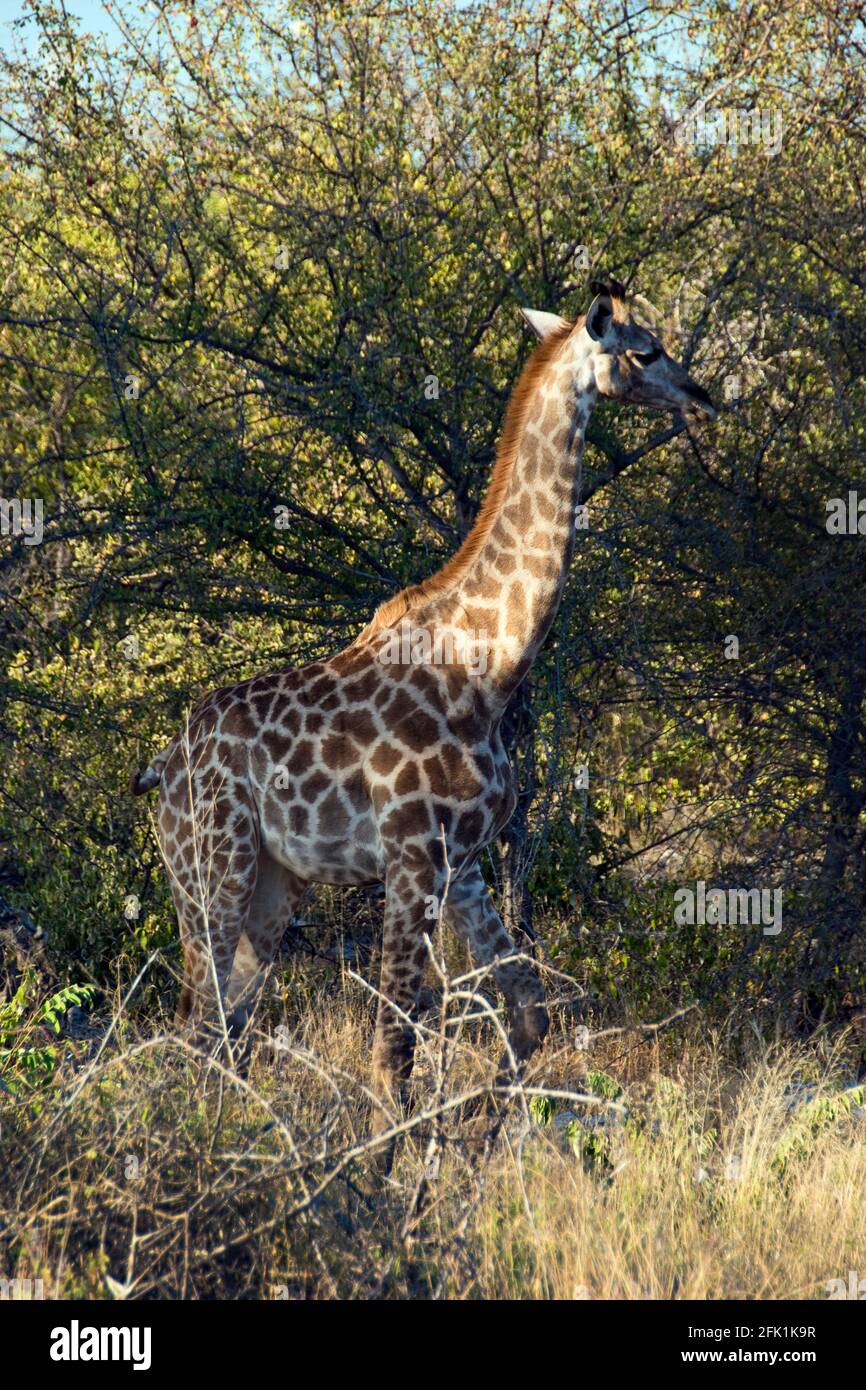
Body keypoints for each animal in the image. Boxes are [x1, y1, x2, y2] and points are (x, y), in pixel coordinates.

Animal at [131, 277, 716, 1139]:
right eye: (645, 351)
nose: (700, 397)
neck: (489, 663)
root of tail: (165, 766)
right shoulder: (412, 858)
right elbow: (393, 1052)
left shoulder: (464, 861)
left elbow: (530, 1014)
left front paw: (473, 1147)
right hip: (213, 869)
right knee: (202, 1028)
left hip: (272, 883)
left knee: (224, 1027)